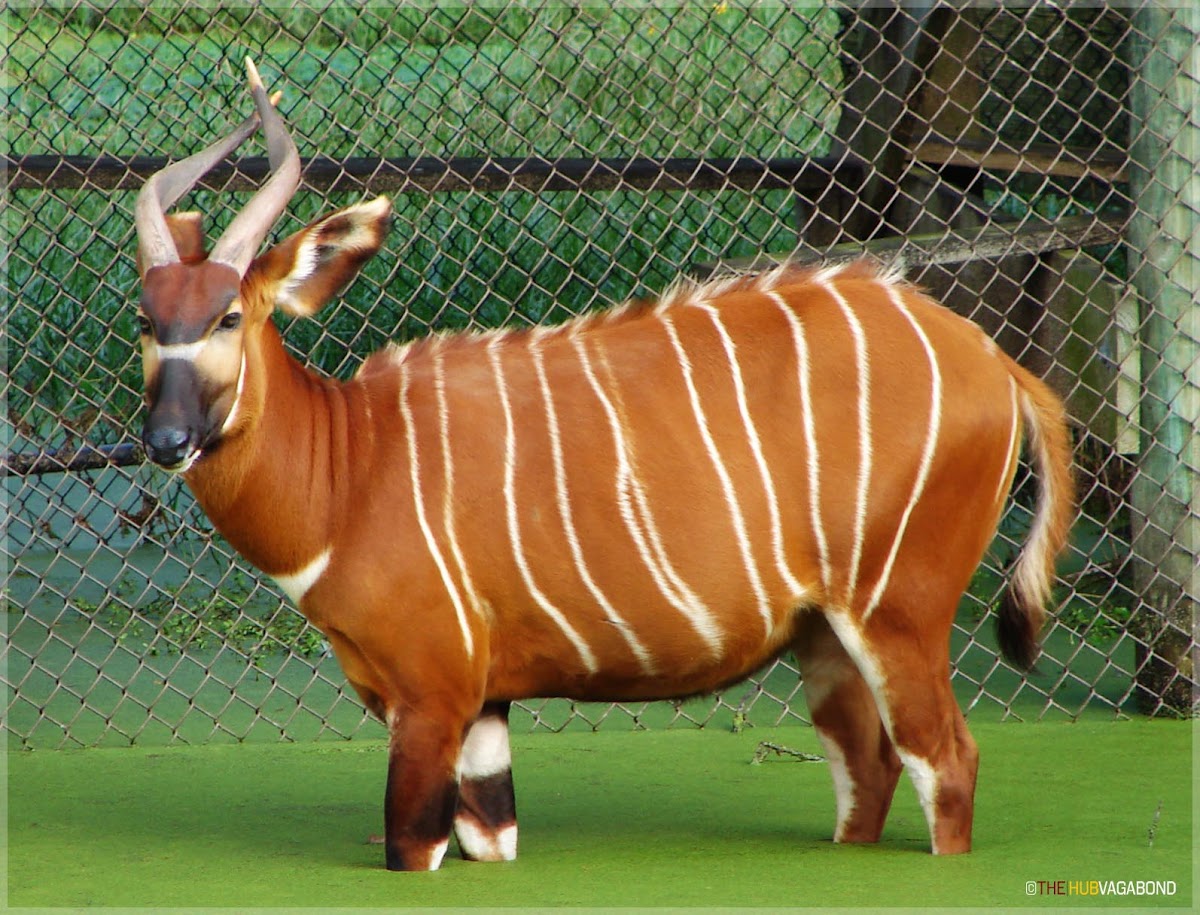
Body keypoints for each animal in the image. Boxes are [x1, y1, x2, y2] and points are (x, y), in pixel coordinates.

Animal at [132, 60, 1073, 871]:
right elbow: (494, 838)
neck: (353, 464)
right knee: (867, 775)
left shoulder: (430, 696)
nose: (167, 440)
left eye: (227, 316)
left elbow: (411, 846)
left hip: (899, 613)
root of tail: (1000, 365)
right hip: (826, 637)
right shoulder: (484, 707)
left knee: (947, 760)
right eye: (146, 317)